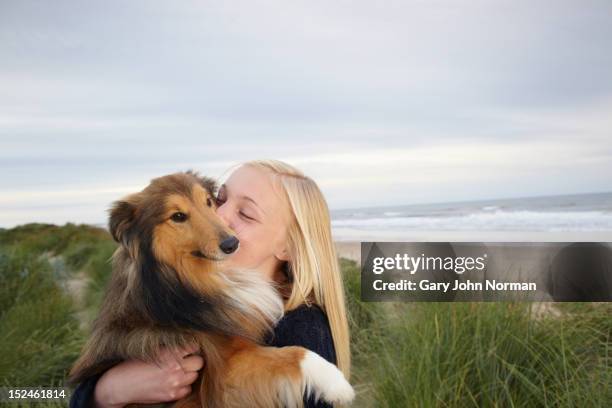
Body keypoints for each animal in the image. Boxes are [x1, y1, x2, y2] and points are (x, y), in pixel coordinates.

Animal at [68, 172, 354, 408]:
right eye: (178, 216)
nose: (231, 243)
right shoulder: (223, 371)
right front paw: (336, 382)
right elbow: (292, 353)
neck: (177, 283)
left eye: (209, 201)